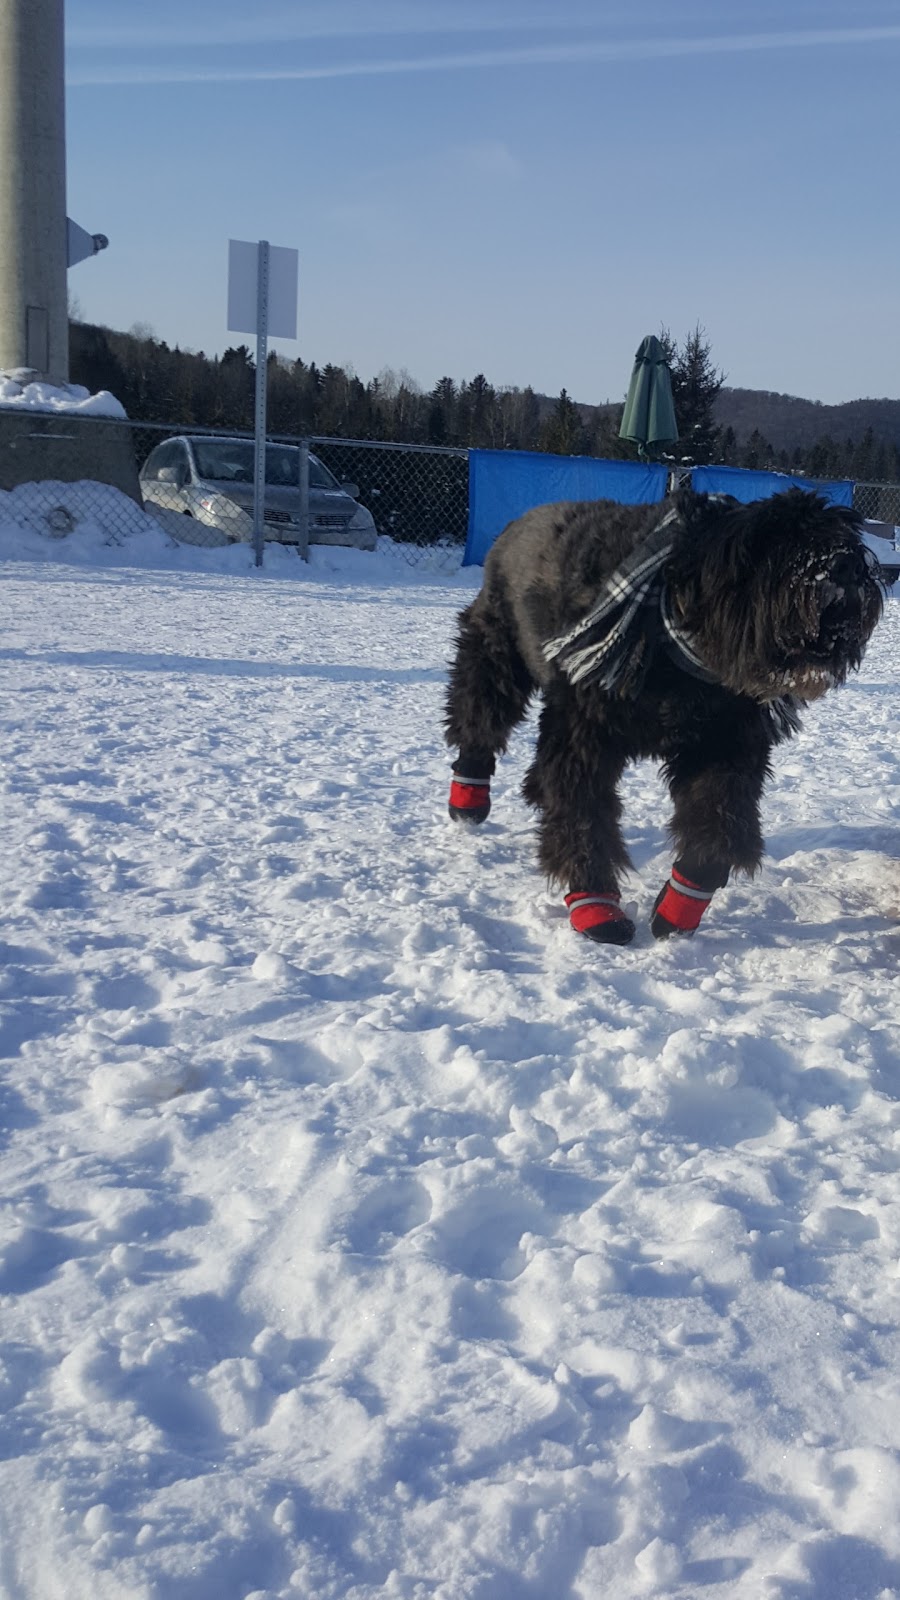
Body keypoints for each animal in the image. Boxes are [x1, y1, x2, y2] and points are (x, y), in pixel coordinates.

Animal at [445, 480, 877, 940]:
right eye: (776, 540)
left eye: (847, 536)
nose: (846, 566)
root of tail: (513, 527)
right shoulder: (581, 740)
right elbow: (583, 816)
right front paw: (595, 904)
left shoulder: (724, 749)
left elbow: (716, 835)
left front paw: (678, 910)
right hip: (495, 656)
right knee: (477, 719)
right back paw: (468, 799)